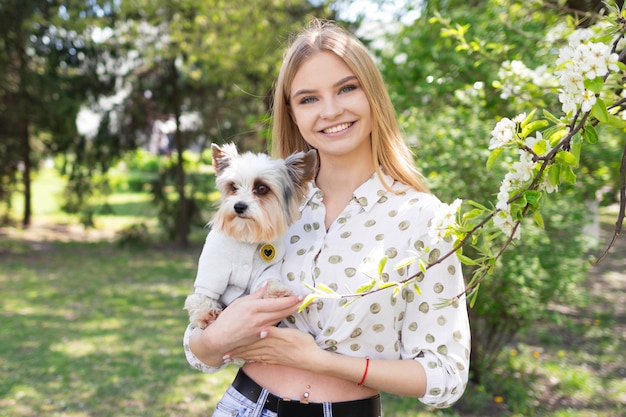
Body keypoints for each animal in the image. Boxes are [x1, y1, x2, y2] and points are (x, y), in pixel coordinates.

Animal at [183, 143, 314, 328]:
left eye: (261, 188)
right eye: (233, 187)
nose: (239, 206)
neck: (246, 235)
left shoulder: (268, 268)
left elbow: (267, 281)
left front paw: (277, 291)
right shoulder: (213, 266)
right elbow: (205, 292)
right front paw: (205, 312)